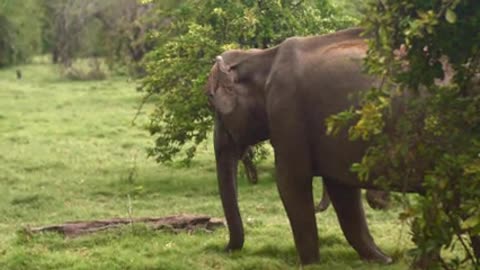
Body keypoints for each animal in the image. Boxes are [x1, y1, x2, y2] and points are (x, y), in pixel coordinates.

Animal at [204, 28, 426, 266]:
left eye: (213, 103)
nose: (226, 249)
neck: (263, 57)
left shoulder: (287, 112)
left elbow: (291, 182)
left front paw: (309, 263)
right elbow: (342, 191)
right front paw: (382, 260)